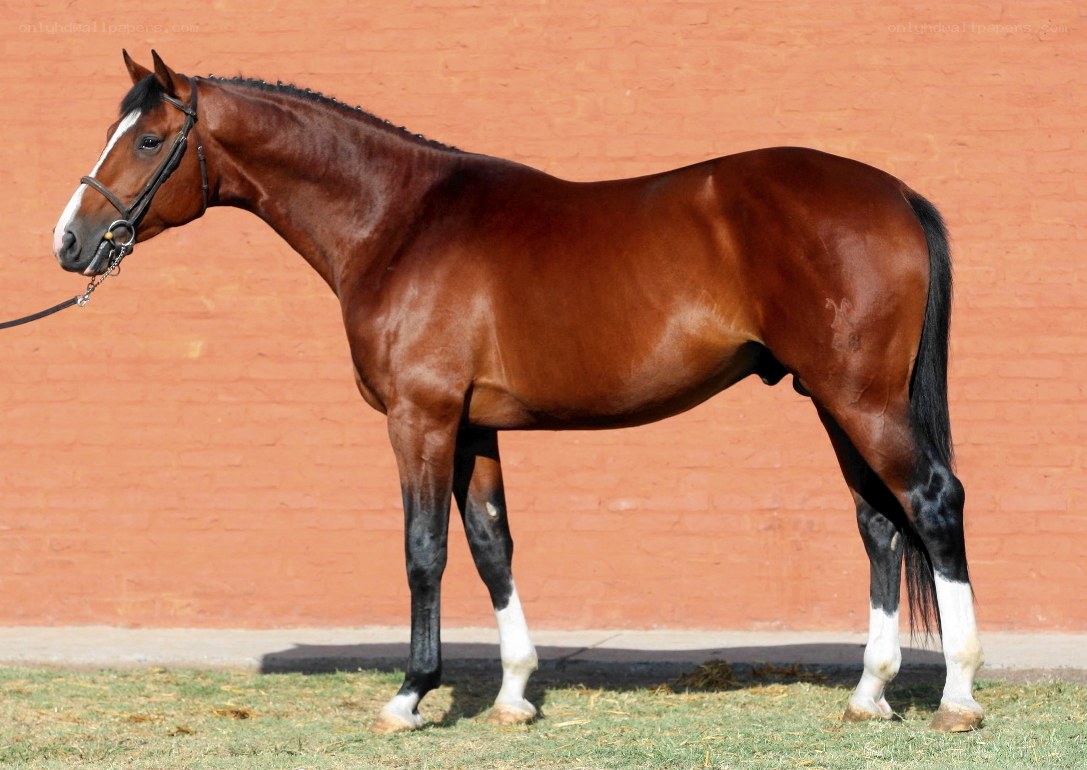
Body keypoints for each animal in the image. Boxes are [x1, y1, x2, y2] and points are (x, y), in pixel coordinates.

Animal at [51, 51, 983, 733]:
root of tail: (891, 191)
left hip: (859, 397)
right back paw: (868, 695)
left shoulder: (420, 420)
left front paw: (409, 696)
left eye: (146, 141)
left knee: (932, 503)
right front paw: (511, 695)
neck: (399, 221)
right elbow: (492, 545)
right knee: (877, 523)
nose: (69, 242)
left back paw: (958, 697)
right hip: (833, 399)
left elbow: (423, 549)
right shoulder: (472, 427)